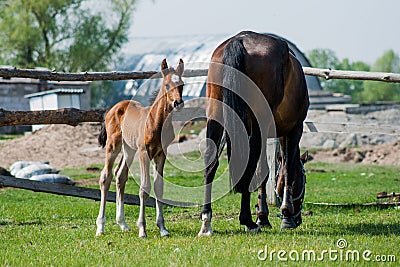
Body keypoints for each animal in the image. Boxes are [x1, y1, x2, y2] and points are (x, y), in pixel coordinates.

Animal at [199, 31, 310, 237]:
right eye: (303, 179)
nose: (298, 218)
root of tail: (240, 40)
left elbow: (263, 173)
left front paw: (263, 216)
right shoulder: (293, 130)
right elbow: (286, 169)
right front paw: (286, 215)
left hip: (215, 115)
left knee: (211, 163)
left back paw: (206, 221)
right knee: (248, 164)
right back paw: (247, 221)